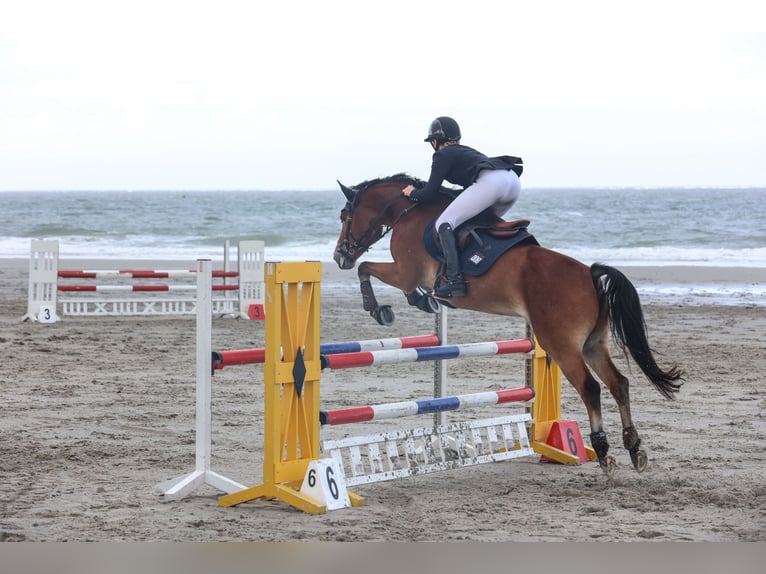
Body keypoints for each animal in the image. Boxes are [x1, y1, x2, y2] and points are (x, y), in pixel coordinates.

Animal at [332, 173, 684, 474]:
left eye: (343, 216)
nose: (339, 257)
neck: (408, 212)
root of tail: (590, 273)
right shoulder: (409, 274)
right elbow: (381, 275)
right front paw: (420, 301)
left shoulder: (406, 272)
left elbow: (368, 268)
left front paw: (381, 308)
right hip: (593, 344)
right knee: (618, 383)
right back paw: (634, 447)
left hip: (561, 345)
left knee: (591, 388)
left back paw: (603, 451)